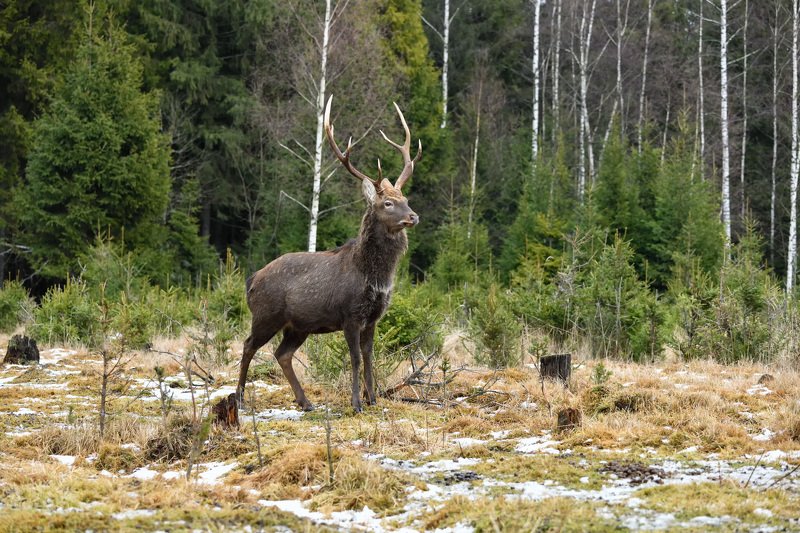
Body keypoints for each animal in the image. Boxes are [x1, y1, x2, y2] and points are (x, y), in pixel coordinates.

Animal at [236, 96, 421, 413]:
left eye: (405, 198)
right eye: (387, 203)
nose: (413, 216)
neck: (375, 276)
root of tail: (252, 280)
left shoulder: (374, 317)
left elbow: (370, 357)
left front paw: (373, 399)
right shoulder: (349, 314)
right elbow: (355, 358)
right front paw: (356, 403)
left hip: (297, 326)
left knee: (281, 354)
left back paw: (306, 402)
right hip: (266, 314)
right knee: (248, 345)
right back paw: (238, 398)